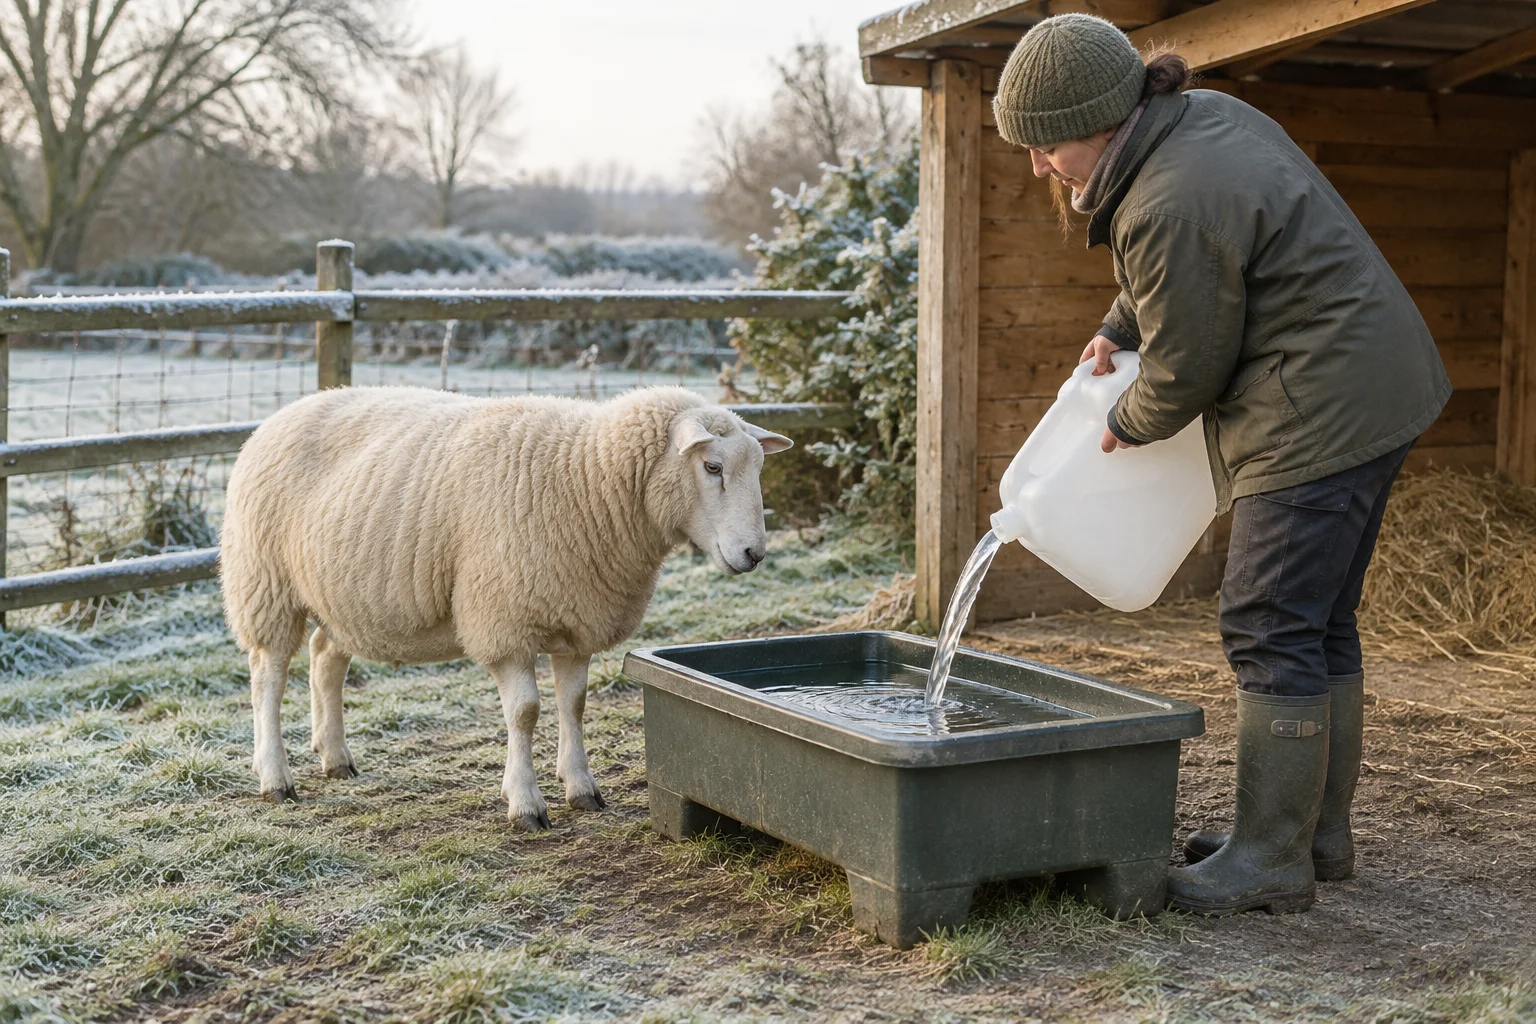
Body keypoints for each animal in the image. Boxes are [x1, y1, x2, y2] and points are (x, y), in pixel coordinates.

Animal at [219, 384, 791, 830]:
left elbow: (573, 705)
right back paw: (275, 778)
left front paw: (581, 788)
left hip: (345, 594)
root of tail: (285, 412)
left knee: (324, 659)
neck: (586, 477)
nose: (754, 554)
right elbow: (526, 712)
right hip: (266, 582)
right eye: (712, 466)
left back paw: (334, 757)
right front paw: (526, 803)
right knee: (268, 678)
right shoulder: (505, 620)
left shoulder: (577, 617)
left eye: (759, 467)